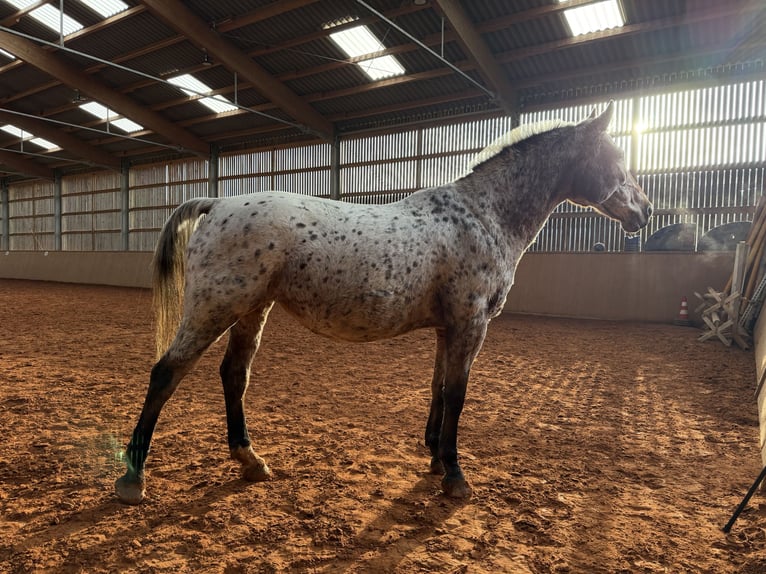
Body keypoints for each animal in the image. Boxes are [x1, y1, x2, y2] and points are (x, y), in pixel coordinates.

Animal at [115, 102, 652, 505]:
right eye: (615, 155)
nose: (644, 211)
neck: (482, 215)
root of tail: (217, 203)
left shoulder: (448, 328)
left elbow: (439, 390)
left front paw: (435, 458)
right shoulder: (471, 324)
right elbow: (458, 395)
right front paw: (455, 477)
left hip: (252, 309)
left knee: (233, 375)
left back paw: (251, 461)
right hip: (215, 307)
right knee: (166, 373)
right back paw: (132, 479)